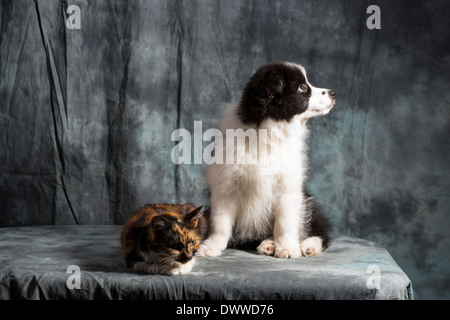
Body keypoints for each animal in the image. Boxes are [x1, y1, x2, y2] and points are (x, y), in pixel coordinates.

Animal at [197, 61, 334, 258]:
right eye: (302, 87)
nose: (333, 93)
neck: (269, 132)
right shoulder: (225, 185)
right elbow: (220, 221)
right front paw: (211, 246)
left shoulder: (288, 186)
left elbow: (285, 222)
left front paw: (287, 247)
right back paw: (268, 244)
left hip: (307, 202)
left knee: (321, 230)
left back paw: (309, 246)